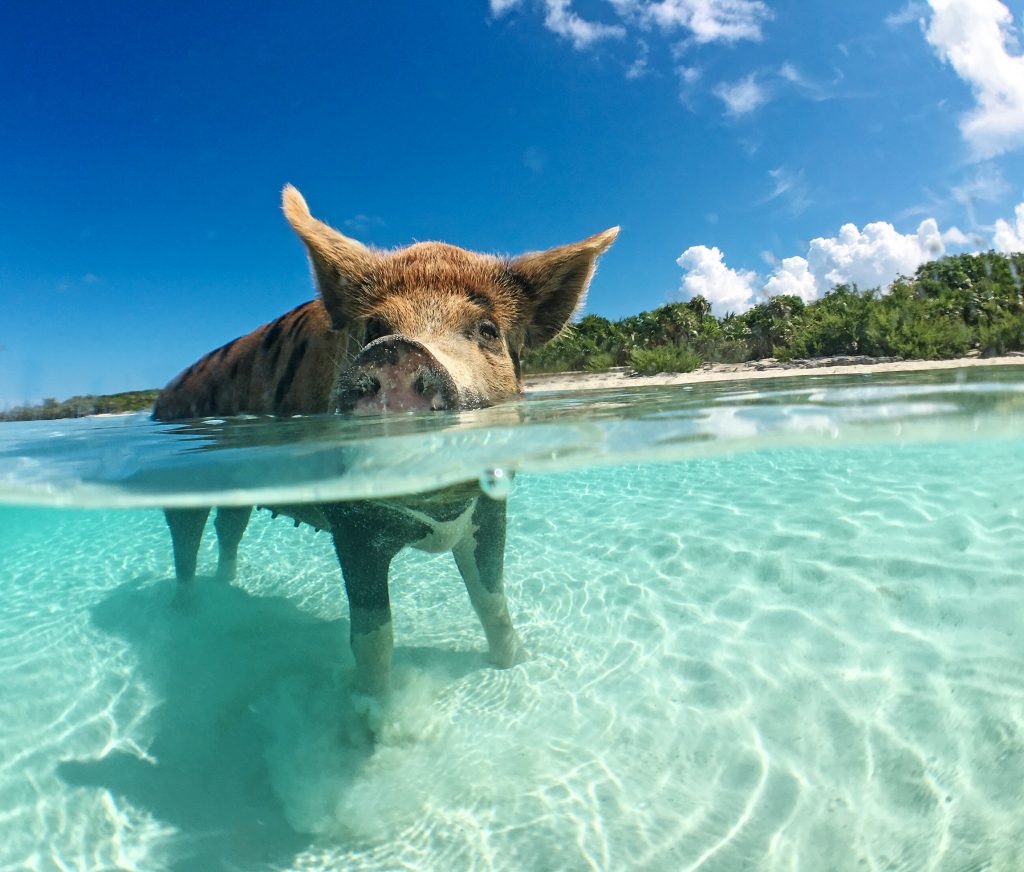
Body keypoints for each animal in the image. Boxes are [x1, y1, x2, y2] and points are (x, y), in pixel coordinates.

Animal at [151, 187, 614, 704]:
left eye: (488, 330)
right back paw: (188, 615)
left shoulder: (492, 508)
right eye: (374, 328)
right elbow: (373, 634)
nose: (399, 350)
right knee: (186, 543)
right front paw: (372, 711)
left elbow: (491, 599)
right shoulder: (352, 522)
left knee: (228, 529)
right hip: (180, 484)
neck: (438, 516)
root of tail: (161, 398)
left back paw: (224, 591)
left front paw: (514, 664)